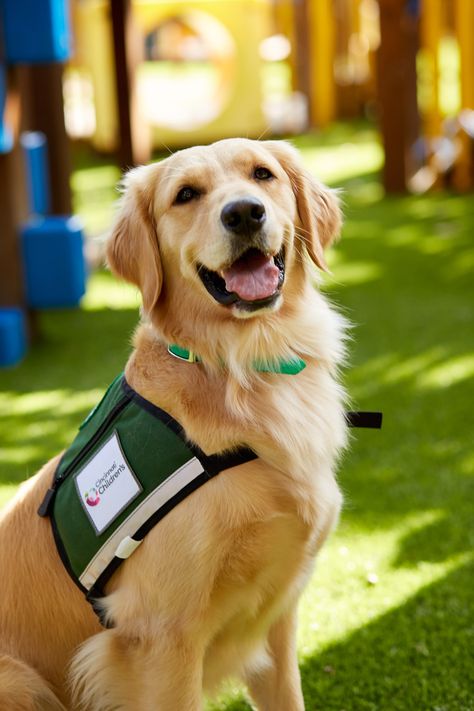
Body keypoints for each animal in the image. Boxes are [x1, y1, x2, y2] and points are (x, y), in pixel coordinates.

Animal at [0, 139, 348, 711]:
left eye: (263, 174)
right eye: (185, 195)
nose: (244, 212)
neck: (237, 365)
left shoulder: (277, 618)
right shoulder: (161, 638)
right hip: (19, 678)